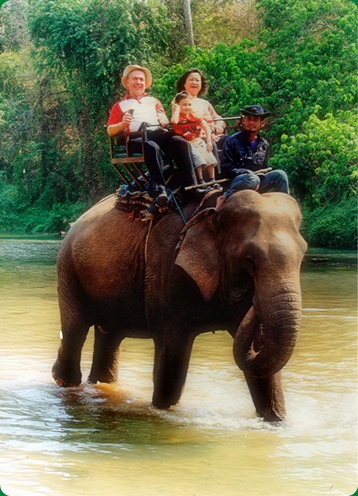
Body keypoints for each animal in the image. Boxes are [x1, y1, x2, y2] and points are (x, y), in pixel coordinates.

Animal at [51, 190, 306, 422]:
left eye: (303, 255)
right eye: (249, 260)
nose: (253, 302)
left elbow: (264, 366)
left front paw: (277, 421)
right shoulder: (167, 269)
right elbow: (172, 359)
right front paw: (164, 413)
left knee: (109, 335)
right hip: (68, 269)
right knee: (75, 329)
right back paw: (65, 383)